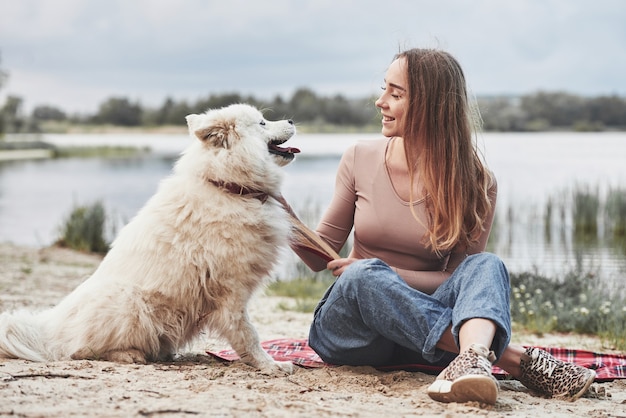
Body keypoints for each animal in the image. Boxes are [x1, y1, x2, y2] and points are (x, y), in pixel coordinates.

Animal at [0, 103, 298, 374]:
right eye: (262, 123)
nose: (293, 120)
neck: (228, 187)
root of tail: (50, 333)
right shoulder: (231, 291)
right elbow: (248, 334)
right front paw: (270, 365)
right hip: (130, 302)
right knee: (80, 350)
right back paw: (130, 354)